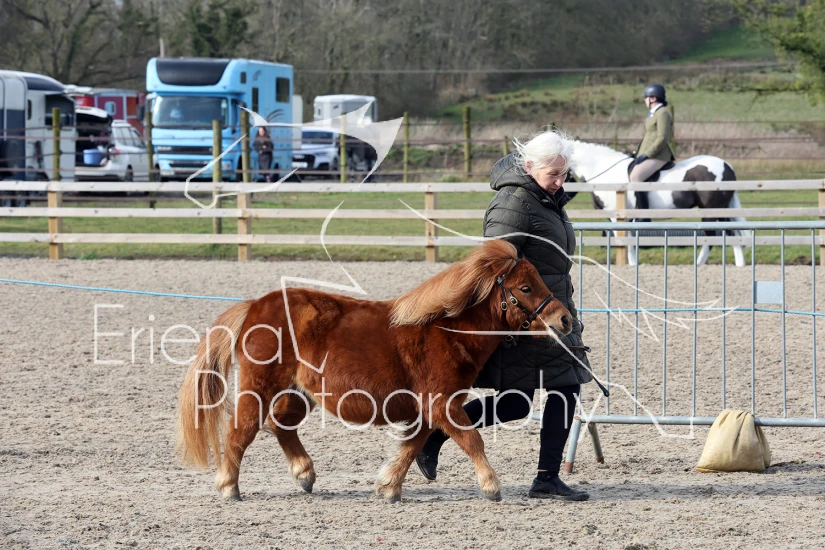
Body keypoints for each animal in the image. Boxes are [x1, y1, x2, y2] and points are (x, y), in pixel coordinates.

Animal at [176, 240, 573, 503]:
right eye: (525, 286)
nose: (565, 319)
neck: (446, 329)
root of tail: (255, 306)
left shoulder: (429, 408)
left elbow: (413, 446)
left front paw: (388, 486)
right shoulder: (442, 403)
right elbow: (470, 439)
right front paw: (491, 486)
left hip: (298, 393)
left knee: (281, 425)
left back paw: (304, 474)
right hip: (259, 387)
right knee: (240, 431)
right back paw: (229, 486)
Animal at [567, 141, 746, 267]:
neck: (604, 171)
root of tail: (727, 166)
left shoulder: (616, 215)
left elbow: (625, 241)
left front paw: (630, 264)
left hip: (712, 211)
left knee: (715, 237)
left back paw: (701, 264)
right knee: (730, 234)